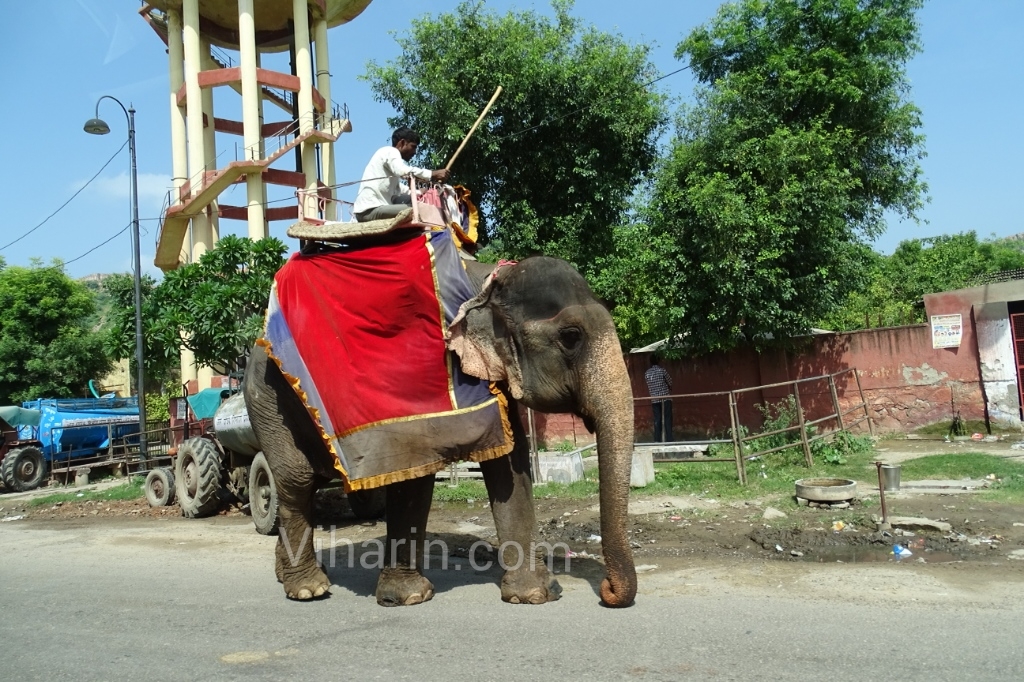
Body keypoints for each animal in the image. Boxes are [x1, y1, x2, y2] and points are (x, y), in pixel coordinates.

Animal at [243, 253, 634, 606]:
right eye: (571, 337)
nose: (608, 592)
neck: (486, 282)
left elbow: (511, 462)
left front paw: (536, 595)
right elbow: (414, 466)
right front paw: (409, 597)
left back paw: (287, 574)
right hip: (268, 400)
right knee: (296, 480)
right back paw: (308, 589)